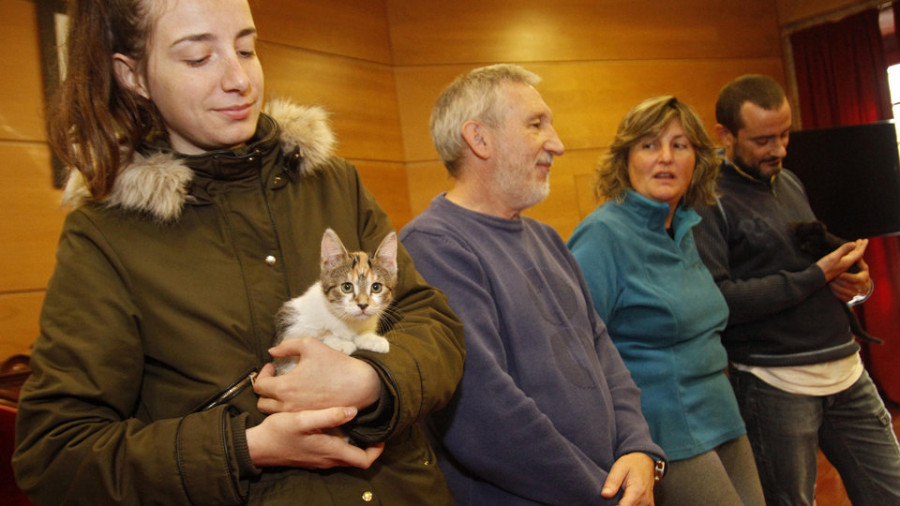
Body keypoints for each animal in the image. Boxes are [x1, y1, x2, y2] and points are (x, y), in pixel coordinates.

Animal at [272, 229, 396, 376]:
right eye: (347, 287)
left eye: (376, 287)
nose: (363, 305)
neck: (348, 321)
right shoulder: (288, 323)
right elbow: (317, 333)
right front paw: (340, 342)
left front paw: (370, 338)